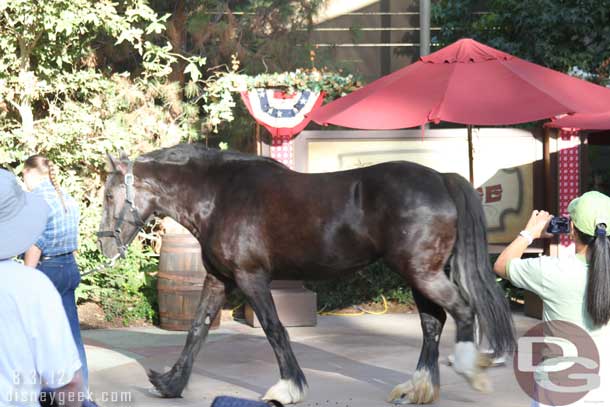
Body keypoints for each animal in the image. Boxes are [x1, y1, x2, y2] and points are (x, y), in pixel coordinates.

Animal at [98, 144, 512, 404]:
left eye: (108, 196)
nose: (105, 248)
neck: (219, 195)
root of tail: (441, 177)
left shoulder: (250, 278)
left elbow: (274, 329)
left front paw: (288, 388)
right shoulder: (219, 278)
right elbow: (196, 328)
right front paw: (170, 383)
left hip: (420, 272)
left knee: (461, 311)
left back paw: (469, 368)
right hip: (420, 274)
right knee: (432, 323)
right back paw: (418, 389)